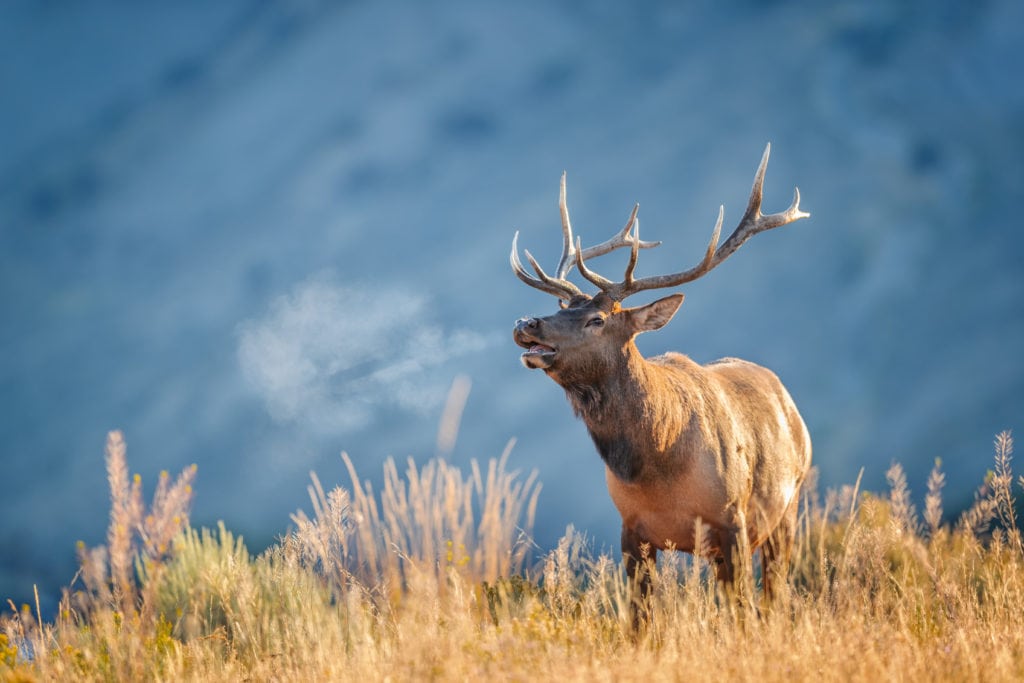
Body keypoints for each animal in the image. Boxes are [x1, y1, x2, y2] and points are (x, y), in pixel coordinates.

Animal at [510, 144, 812, 615]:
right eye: (565, 309)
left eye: (597, 319)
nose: (527, 323)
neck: (658, 465)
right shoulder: (632, 528)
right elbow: (640, 619)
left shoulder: (733, 520)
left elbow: (744, 612)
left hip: (788, 506)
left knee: (773, 594)